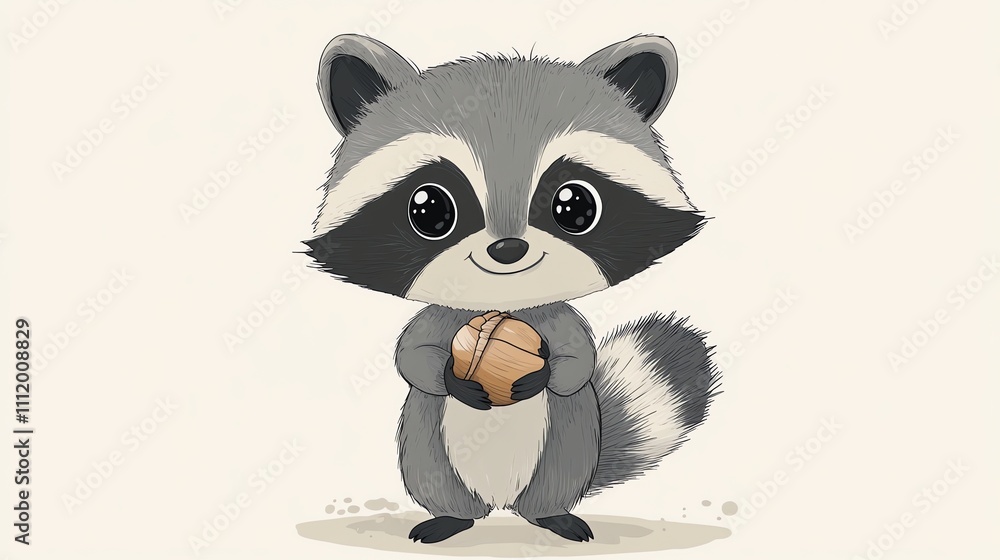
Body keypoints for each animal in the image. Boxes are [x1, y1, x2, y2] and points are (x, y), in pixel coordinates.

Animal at [303, 33, 721, 544]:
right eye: (429, 209)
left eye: (575, 206)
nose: (507, 248)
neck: (505, 304)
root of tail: (501, 505)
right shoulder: (439, 320)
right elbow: (412, 356)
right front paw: (452, 379)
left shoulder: (557, 320)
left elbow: (578, 360)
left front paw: (543, 374)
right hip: (424, 447)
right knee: (434, 477)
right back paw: (449, 517)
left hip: (570, 444)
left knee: (556, 478)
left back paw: (553, 515)